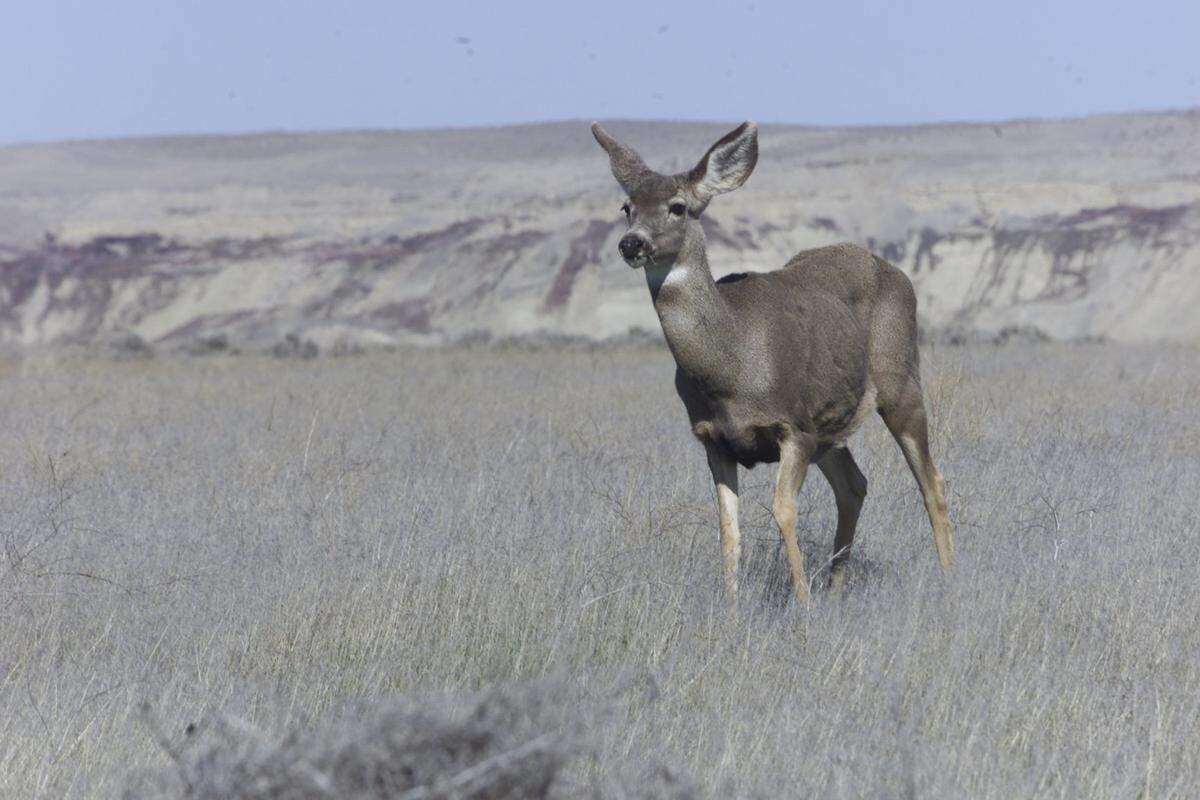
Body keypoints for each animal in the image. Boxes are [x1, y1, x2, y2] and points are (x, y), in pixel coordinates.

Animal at [591, 120, 954, 603]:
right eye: (626, 206)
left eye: (678, 207)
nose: (632, 243)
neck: (730, 366)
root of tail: (892, 269)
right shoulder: (712, 438)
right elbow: (728, 529)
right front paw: (731, 606)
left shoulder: (794, 425)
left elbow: (784, 511)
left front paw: (801, 604)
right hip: (831, 424)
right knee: (854, 485)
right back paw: (835, 589)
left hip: (900, 383)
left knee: (931, 481)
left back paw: (951, 578)